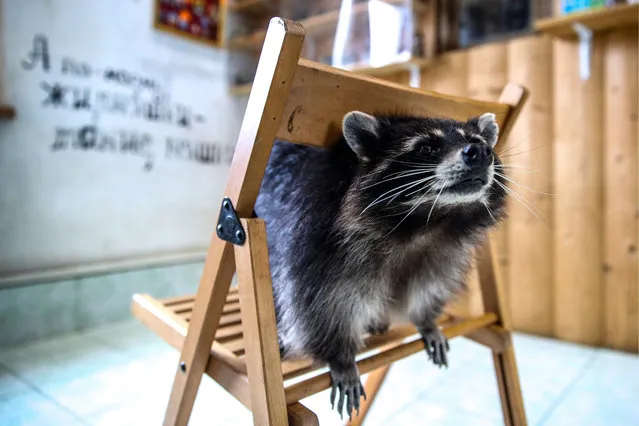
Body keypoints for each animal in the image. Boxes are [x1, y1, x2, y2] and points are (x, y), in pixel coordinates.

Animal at [252, 109, 508, 416]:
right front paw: (339, 356)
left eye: (477, 141)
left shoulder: (442, 250)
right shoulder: (318, 235)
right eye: (427, 148)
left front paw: (426, 320)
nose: (480, 152)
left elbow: (429, 283)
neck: (427, 220)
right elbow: (318, 305)